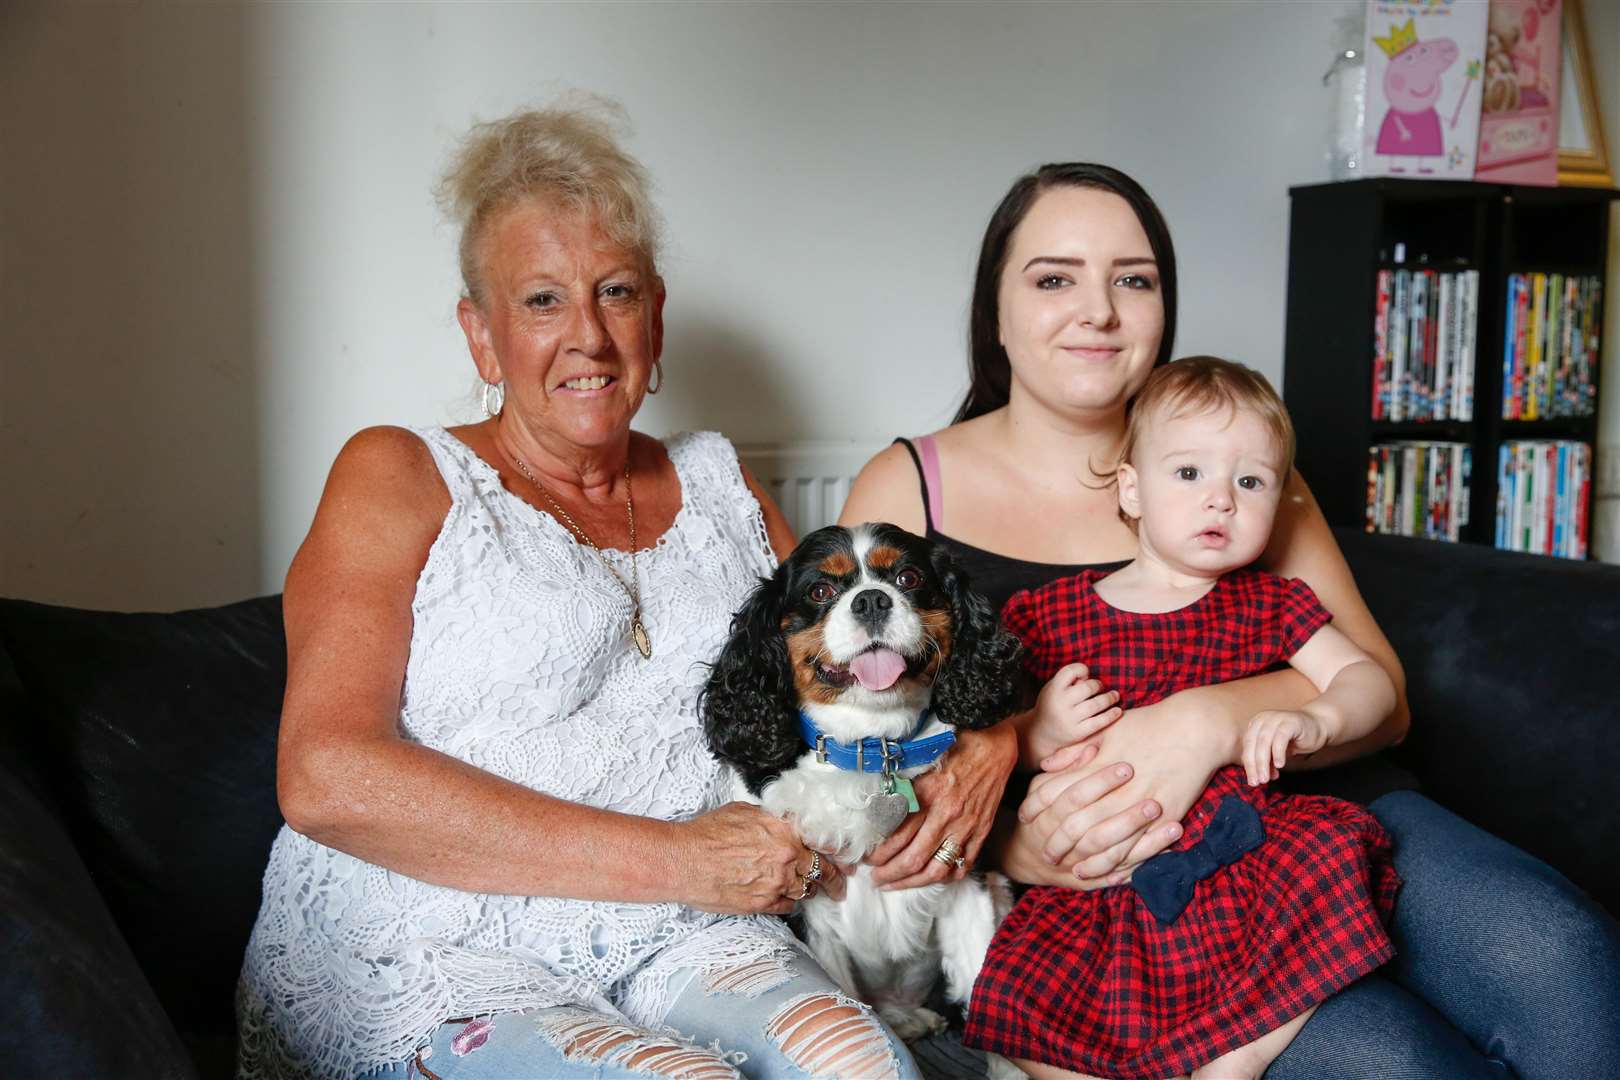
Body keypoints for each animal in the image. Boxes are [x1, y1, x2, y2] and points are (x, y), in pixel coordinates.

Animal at [699, 524, 1023, 1049]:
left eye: (908, 577)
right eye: (819, 591)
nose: (871, 600)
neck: (873, 746)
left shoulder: (967, 880)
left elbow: (981, 996)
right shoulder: (810, 910)